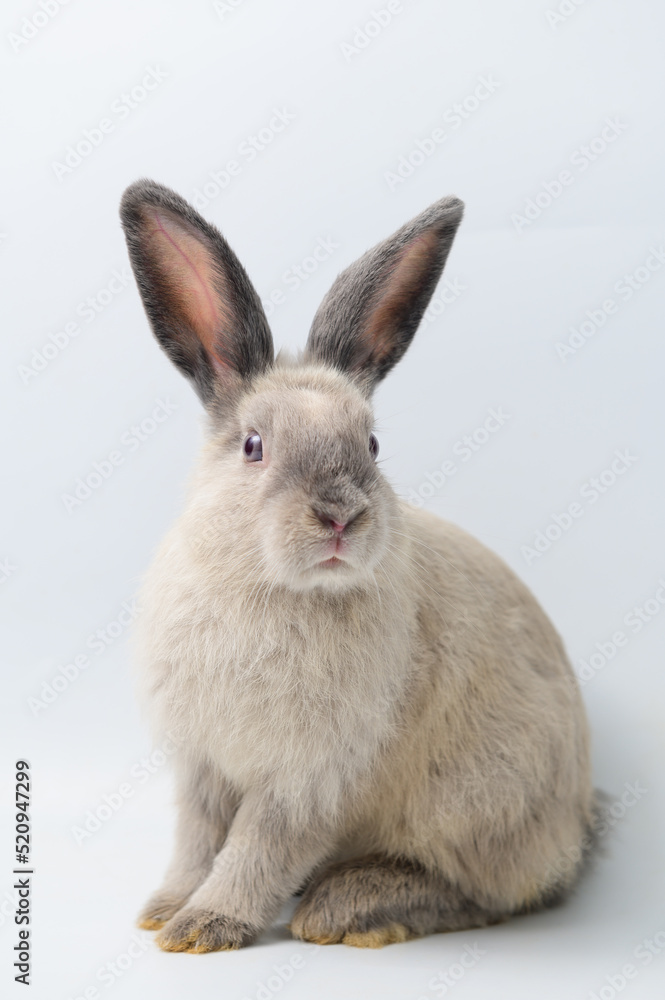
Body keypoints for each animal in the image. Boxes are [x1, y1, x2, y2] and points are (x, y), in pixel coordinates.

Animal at [119, 179, 597, 953]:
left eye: (370, 445)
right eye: (253, 446)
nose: (340, 515)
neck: (274, 589)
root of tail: (578, 823)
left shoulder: (306, 780)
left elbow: (256, 851)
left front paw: (203, 927)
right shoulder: (203, 769)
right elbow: (197, 843)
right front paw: (164, 911)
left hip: (477, 802)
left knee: (485, 892)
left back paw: (346, 908)